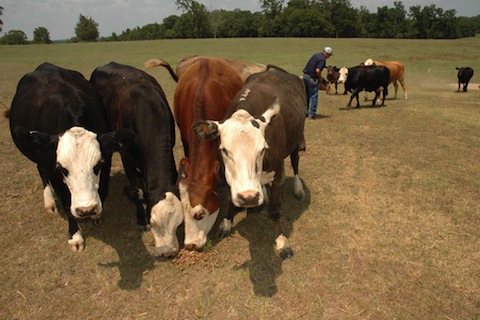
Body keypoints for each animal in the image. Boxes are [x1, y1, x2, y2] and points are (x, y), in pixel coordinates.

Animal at [89, 62, 183, 258]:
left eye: (179, 223)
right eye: (153, 222)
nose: (169, 253)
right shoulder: (127, 157)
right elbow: (137, 187)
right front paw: (140, 220)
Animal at [193, 65, 306, 260]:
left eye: (263, 149)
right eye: (224, 150)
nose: (249, 197)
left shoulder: (278, 175)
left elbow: (275, 210)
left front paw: (282, 242)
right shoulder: (227, 175)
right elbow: (230, 200)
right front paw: (226, 223)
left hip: (297, 140)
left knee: (295, 161)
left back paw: (298, 188)